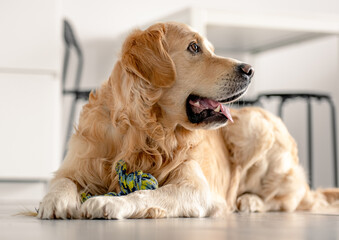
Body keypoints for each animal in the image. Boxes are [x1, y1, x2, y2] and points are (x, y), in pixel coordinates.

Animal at [35, 21, 338, 218]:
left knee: (286, 200)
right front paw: (54, 202)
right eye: (193, 47)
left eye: (210, 48)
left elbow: (147, 193)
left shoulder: (196, 187)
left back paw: (250, 201)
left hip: (255, 127)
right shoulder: (75, 164)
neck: (145, 131)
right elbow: (62, 181)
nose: (250, 70)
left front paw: (109, 203)